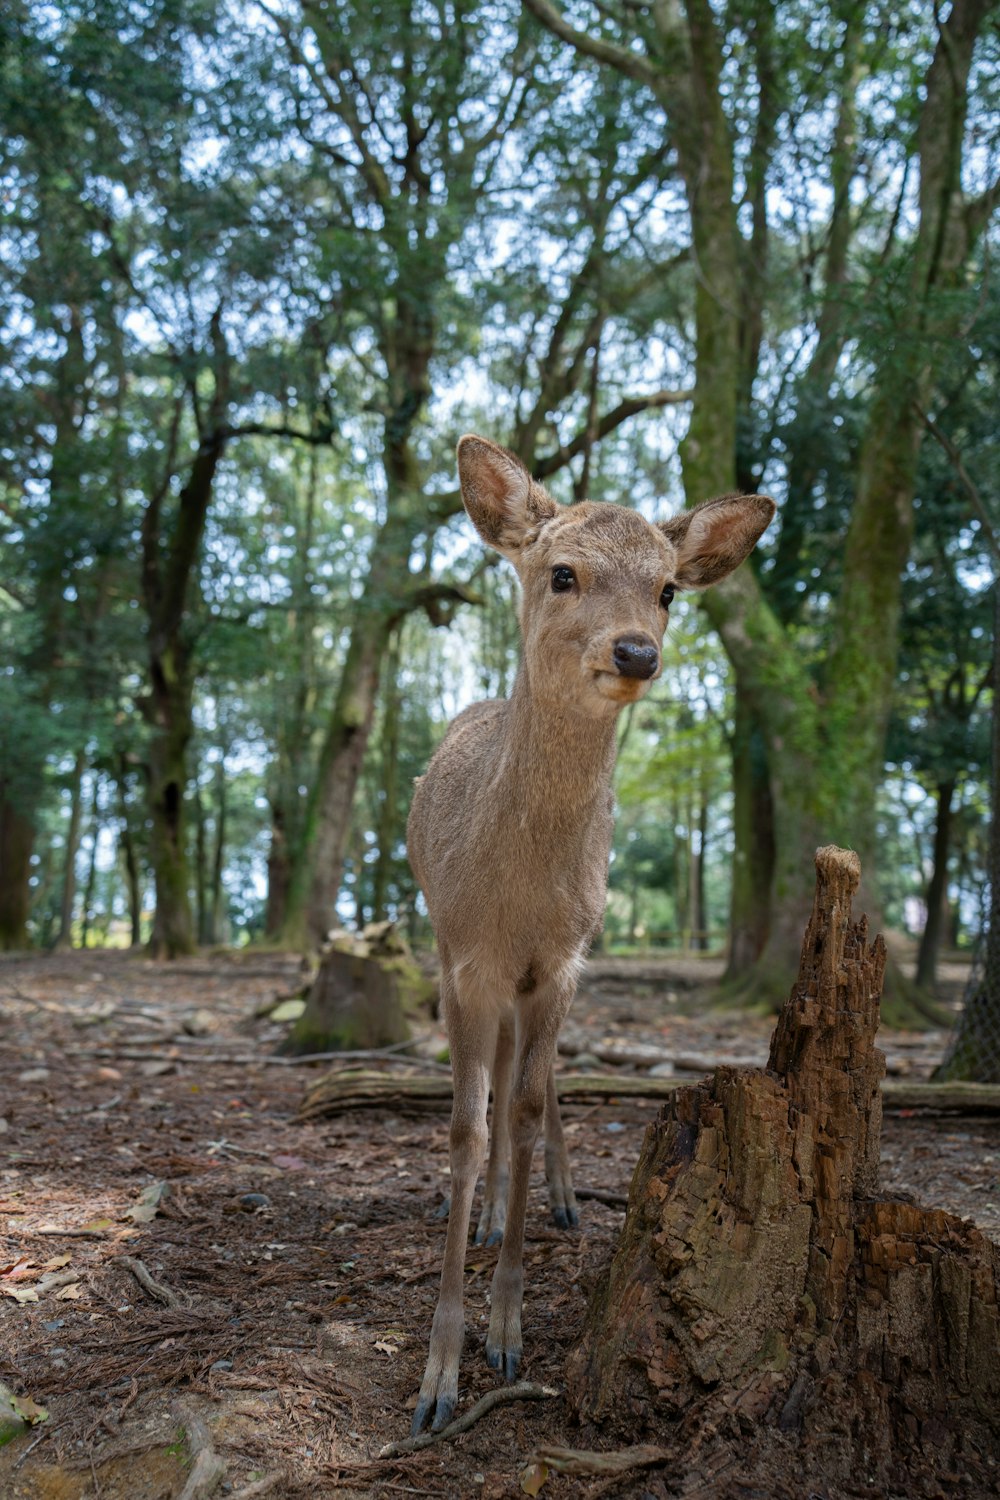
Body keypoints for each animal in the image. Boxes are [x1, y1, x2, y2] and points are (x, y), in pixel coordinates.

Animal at [404, 432, 773, 1428]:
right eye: (562, 571)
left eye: (669, 588)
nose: (637, 651)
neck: (518, 898)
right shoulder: (465, 960)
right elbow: (466, 1126)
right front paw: (437, 1377)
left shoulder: (561, 961)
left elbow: (529, 1109)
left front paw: (505, 1334)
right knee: (499, 1081)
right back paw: (490, 1210)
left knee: (538, 1081)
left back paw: (556, 1201)